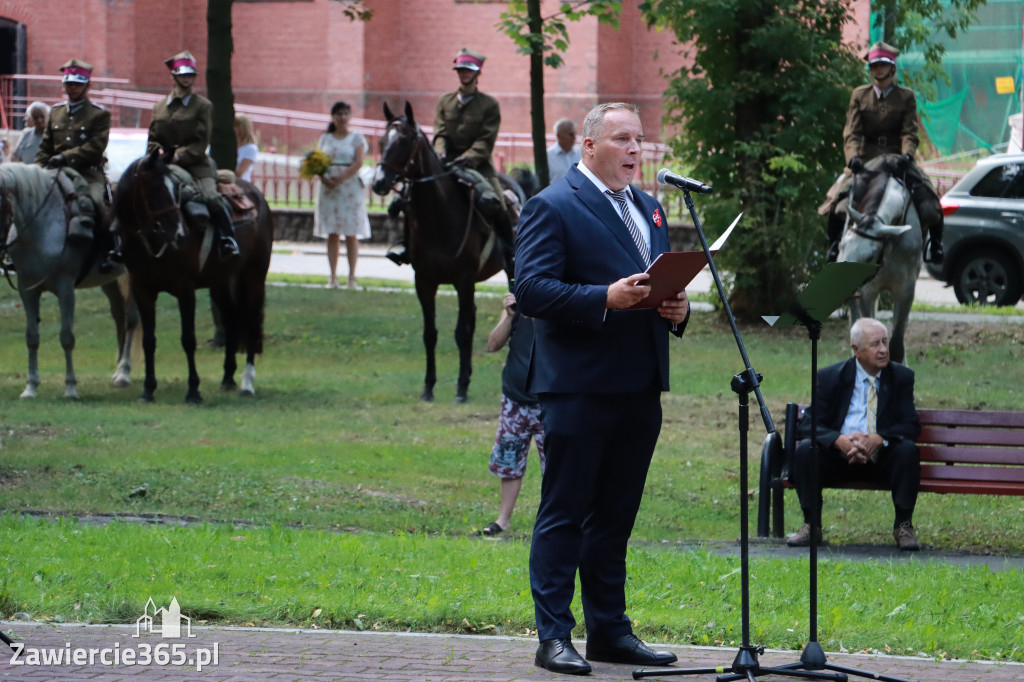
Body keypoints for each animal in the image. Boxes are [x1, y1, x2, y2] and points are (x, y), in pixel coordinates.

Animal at [0, 163, 138, 399]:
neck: (42, 225)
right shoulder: (27, 289)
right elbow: (31, 337)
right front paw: (30, 387)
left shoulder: (65, 289)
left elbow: (67, 337)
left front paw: (71, 387)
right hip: (109, 282)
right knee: (119, 317)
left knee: (131, 320)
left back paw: (123, 373)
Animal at [112, 148, 274, 401]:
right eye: (154, 187)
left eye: (176, 190)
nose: (179, 233)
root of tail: (257, 195)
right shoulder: (142, 290)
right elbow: (149, 340)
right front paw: (148, 390)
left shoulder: (185, 290)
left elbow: (188, 339)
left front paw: (193, 391)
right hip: (220, 282)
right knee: (230, 318)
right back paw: (228, 377)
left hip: (254, 275)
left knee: (251, 320)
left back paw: (247, 382)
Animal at [372, 100, 516, 399]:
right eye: (381, 140)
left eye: (405, 140)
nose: (379, 182)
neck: (439, 215)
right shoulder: (424, 281)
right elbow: (430, 333)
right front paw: (429, 386)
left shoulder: (463, 279)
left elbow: (461, 332)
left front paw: (460, 388)